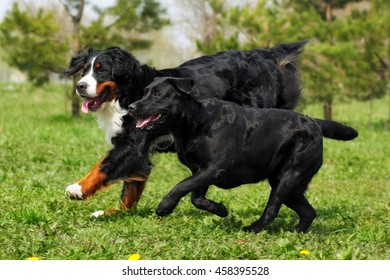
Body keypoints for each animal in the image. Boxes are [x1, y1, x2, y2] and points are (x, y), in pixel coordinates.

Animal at [63, 41, 356, 217]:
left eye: (101, 70)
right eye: (84, 70)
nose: (80, 87)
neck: (127, 94)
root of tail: (263, 55)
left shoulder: (133, 142)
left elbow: (104, 166)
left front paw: (77, 188)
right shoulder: (138, 149)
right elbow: (130, 188)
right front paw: (116, 213)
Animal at [129, 77, 358, 232]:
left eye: (157, 94)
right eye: (145, 92)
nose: (131, 106)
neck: (197, 120)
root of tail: (312, 121)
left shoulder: (214, 169)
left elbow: (180, 186)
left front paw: (164, 207)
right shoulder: (201, 171)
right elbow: (196, 197)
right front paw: (220, 209)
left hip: (288, 177)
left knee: (272, 209)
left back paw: (252, 228)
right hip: (286, 182)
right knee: (308, 212)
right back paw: (296, 232)